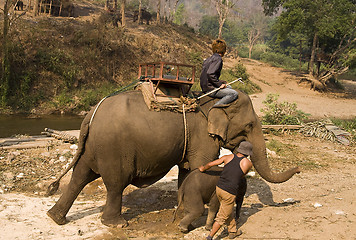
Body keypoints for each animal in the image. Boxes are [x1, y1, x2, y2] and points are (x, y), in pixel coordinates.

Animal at [45, 87, 300, 227]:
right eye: (249, 125)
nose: (298, 168)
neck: (213, 101)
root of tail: (90, 114)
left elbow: (187, 172)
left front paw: (181, 212)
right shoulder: (202, 137)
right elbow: (201, 166)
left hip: (92, 147)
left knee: (80, 176)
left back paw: (55, 217)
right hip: (112, 149)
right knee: (115, 184)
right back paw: (117, 224)